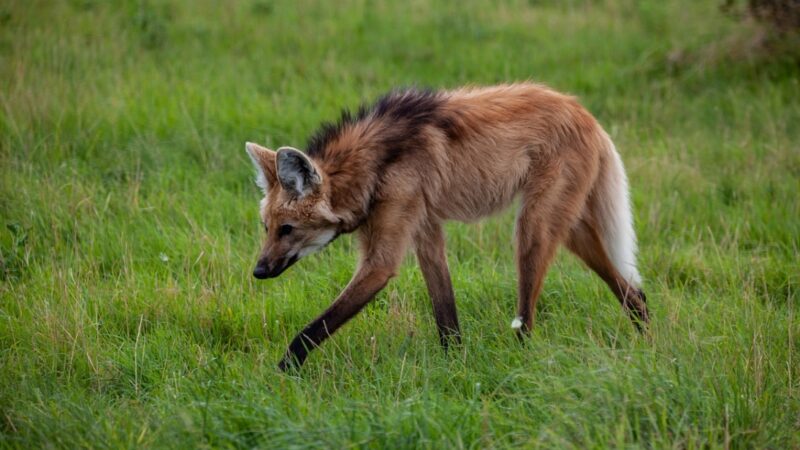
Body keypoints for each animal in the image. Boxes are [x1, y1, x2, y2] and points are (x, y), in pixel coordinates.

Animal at [245, 82, 648, 370]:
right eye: (266, 227)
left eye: (287, 229)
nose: (258, 271)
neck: (373, 167)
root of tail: (584, 113)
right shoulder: (425, 228)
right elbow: (445, 313)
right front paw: (455, 364)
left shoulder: (382, 259)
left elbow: (313, 328)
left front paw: (281, 374)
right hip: (571, 228)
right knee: (633, 290)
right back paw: (647, 341)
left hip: (532, 228)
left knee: (529, 316)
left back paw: (522, 361)